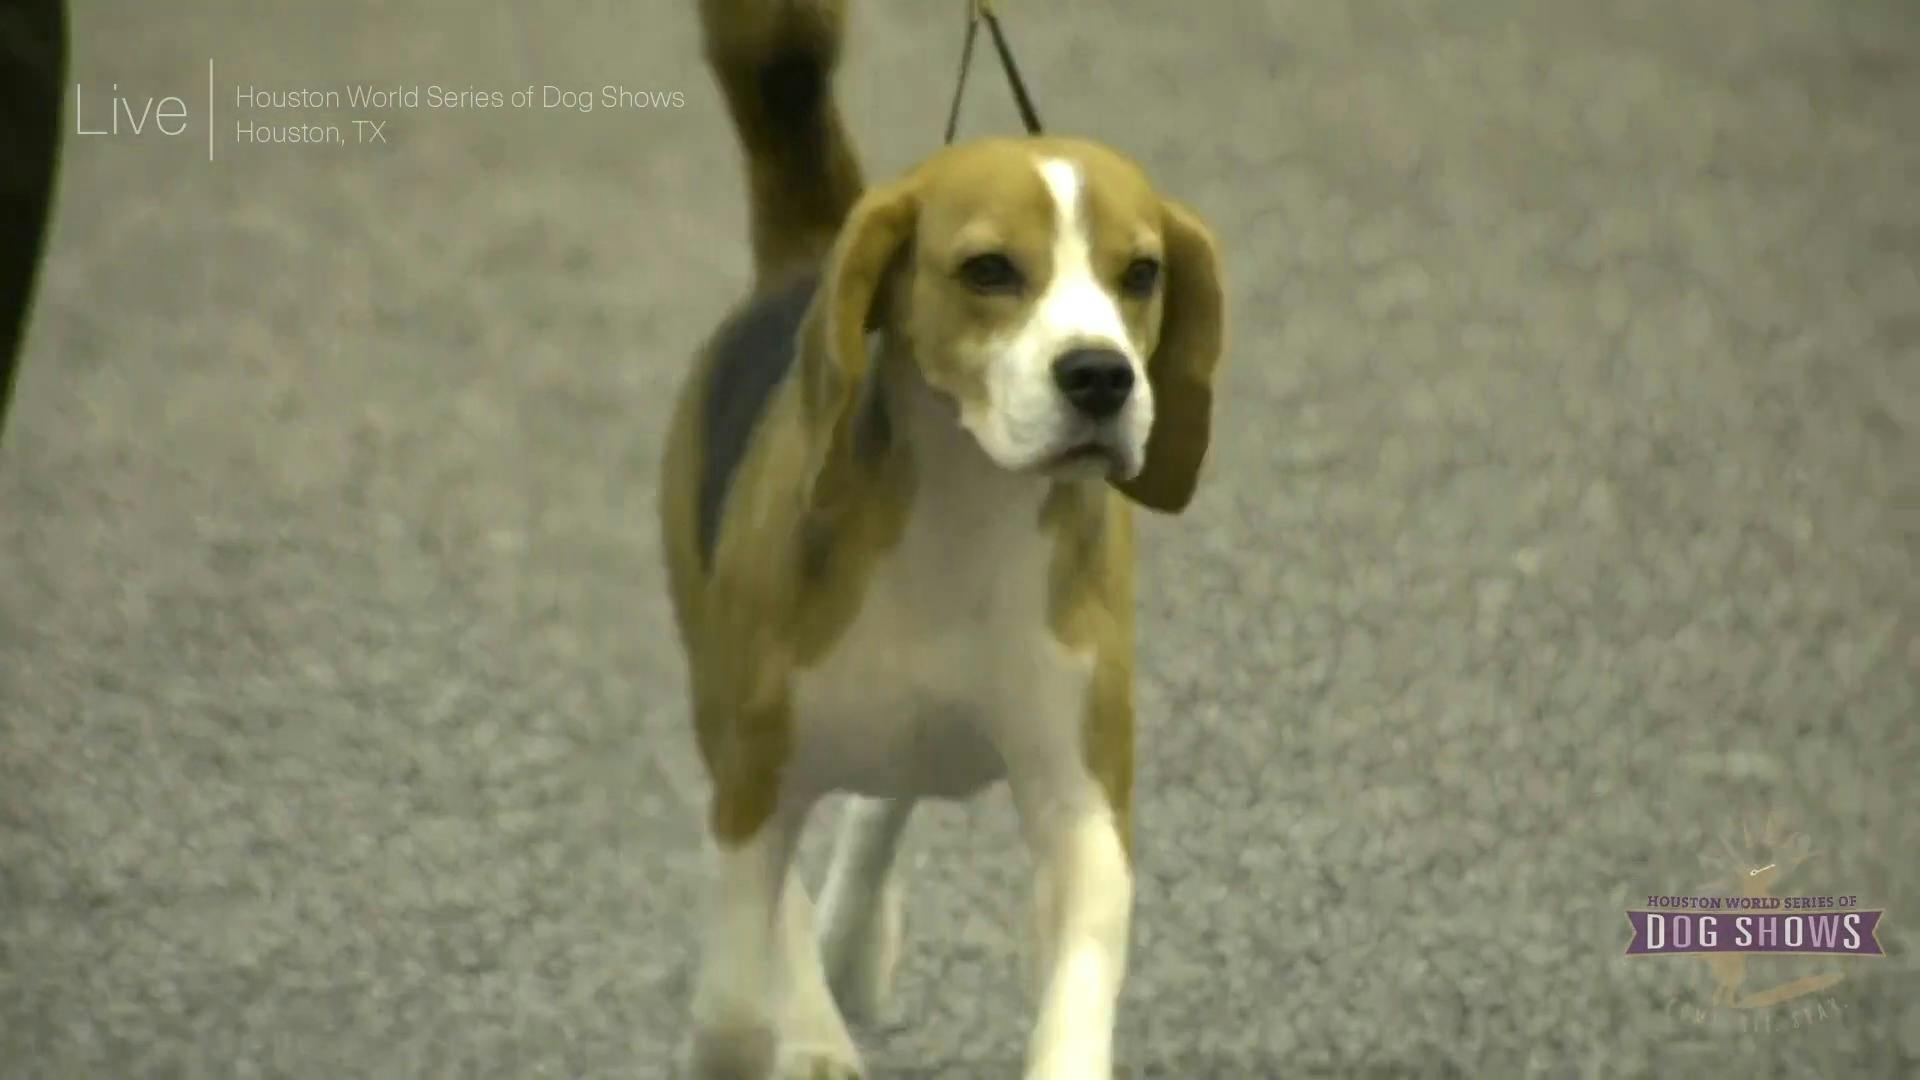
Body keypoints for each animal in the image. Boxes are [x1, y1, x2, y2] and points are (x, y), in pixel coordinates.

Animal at [660, 4, 1221, 1068]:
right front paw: (785, 1035)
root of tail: (806, 257)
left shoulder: (1083, 801)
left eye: (1141, 274)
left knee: (885, 798)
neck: (968, 510)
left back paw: (852, 941)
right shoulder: (753, 773)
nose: (1101, 376)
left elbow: (1081, 976)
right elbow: (737, 993)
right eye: (989, 271)